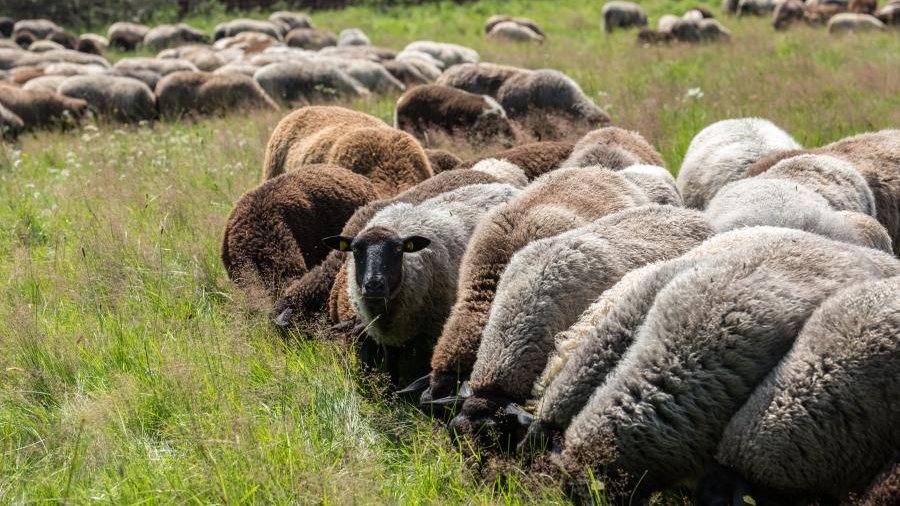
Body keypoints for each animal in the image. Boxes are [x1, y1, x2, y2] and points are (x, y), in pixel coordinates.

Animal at [325, 183, 521, 385]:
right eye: (355, 249)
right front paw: (391, 389)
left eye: (398, 249)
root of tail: (502, 185)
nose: (374, 285)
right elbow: (390, 366)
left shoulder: (434, 329)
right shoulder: (387, 336)